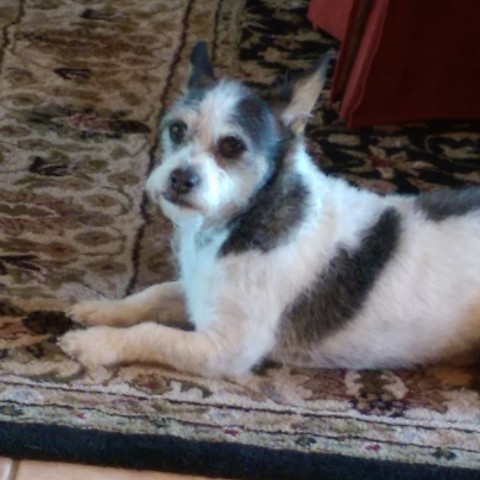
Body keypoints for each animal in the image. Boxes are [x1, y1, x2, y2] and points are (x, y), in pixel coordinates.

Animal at [60, 42, 480, 377]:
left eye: (232, 146)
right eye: (176, 130)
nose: (180, 178)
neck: (243, 220)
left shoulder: (226, 348)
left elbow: (152, 333)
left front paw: (95, 342)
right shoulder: (199, 289)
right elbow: (152, 295)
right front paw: (103, 310)